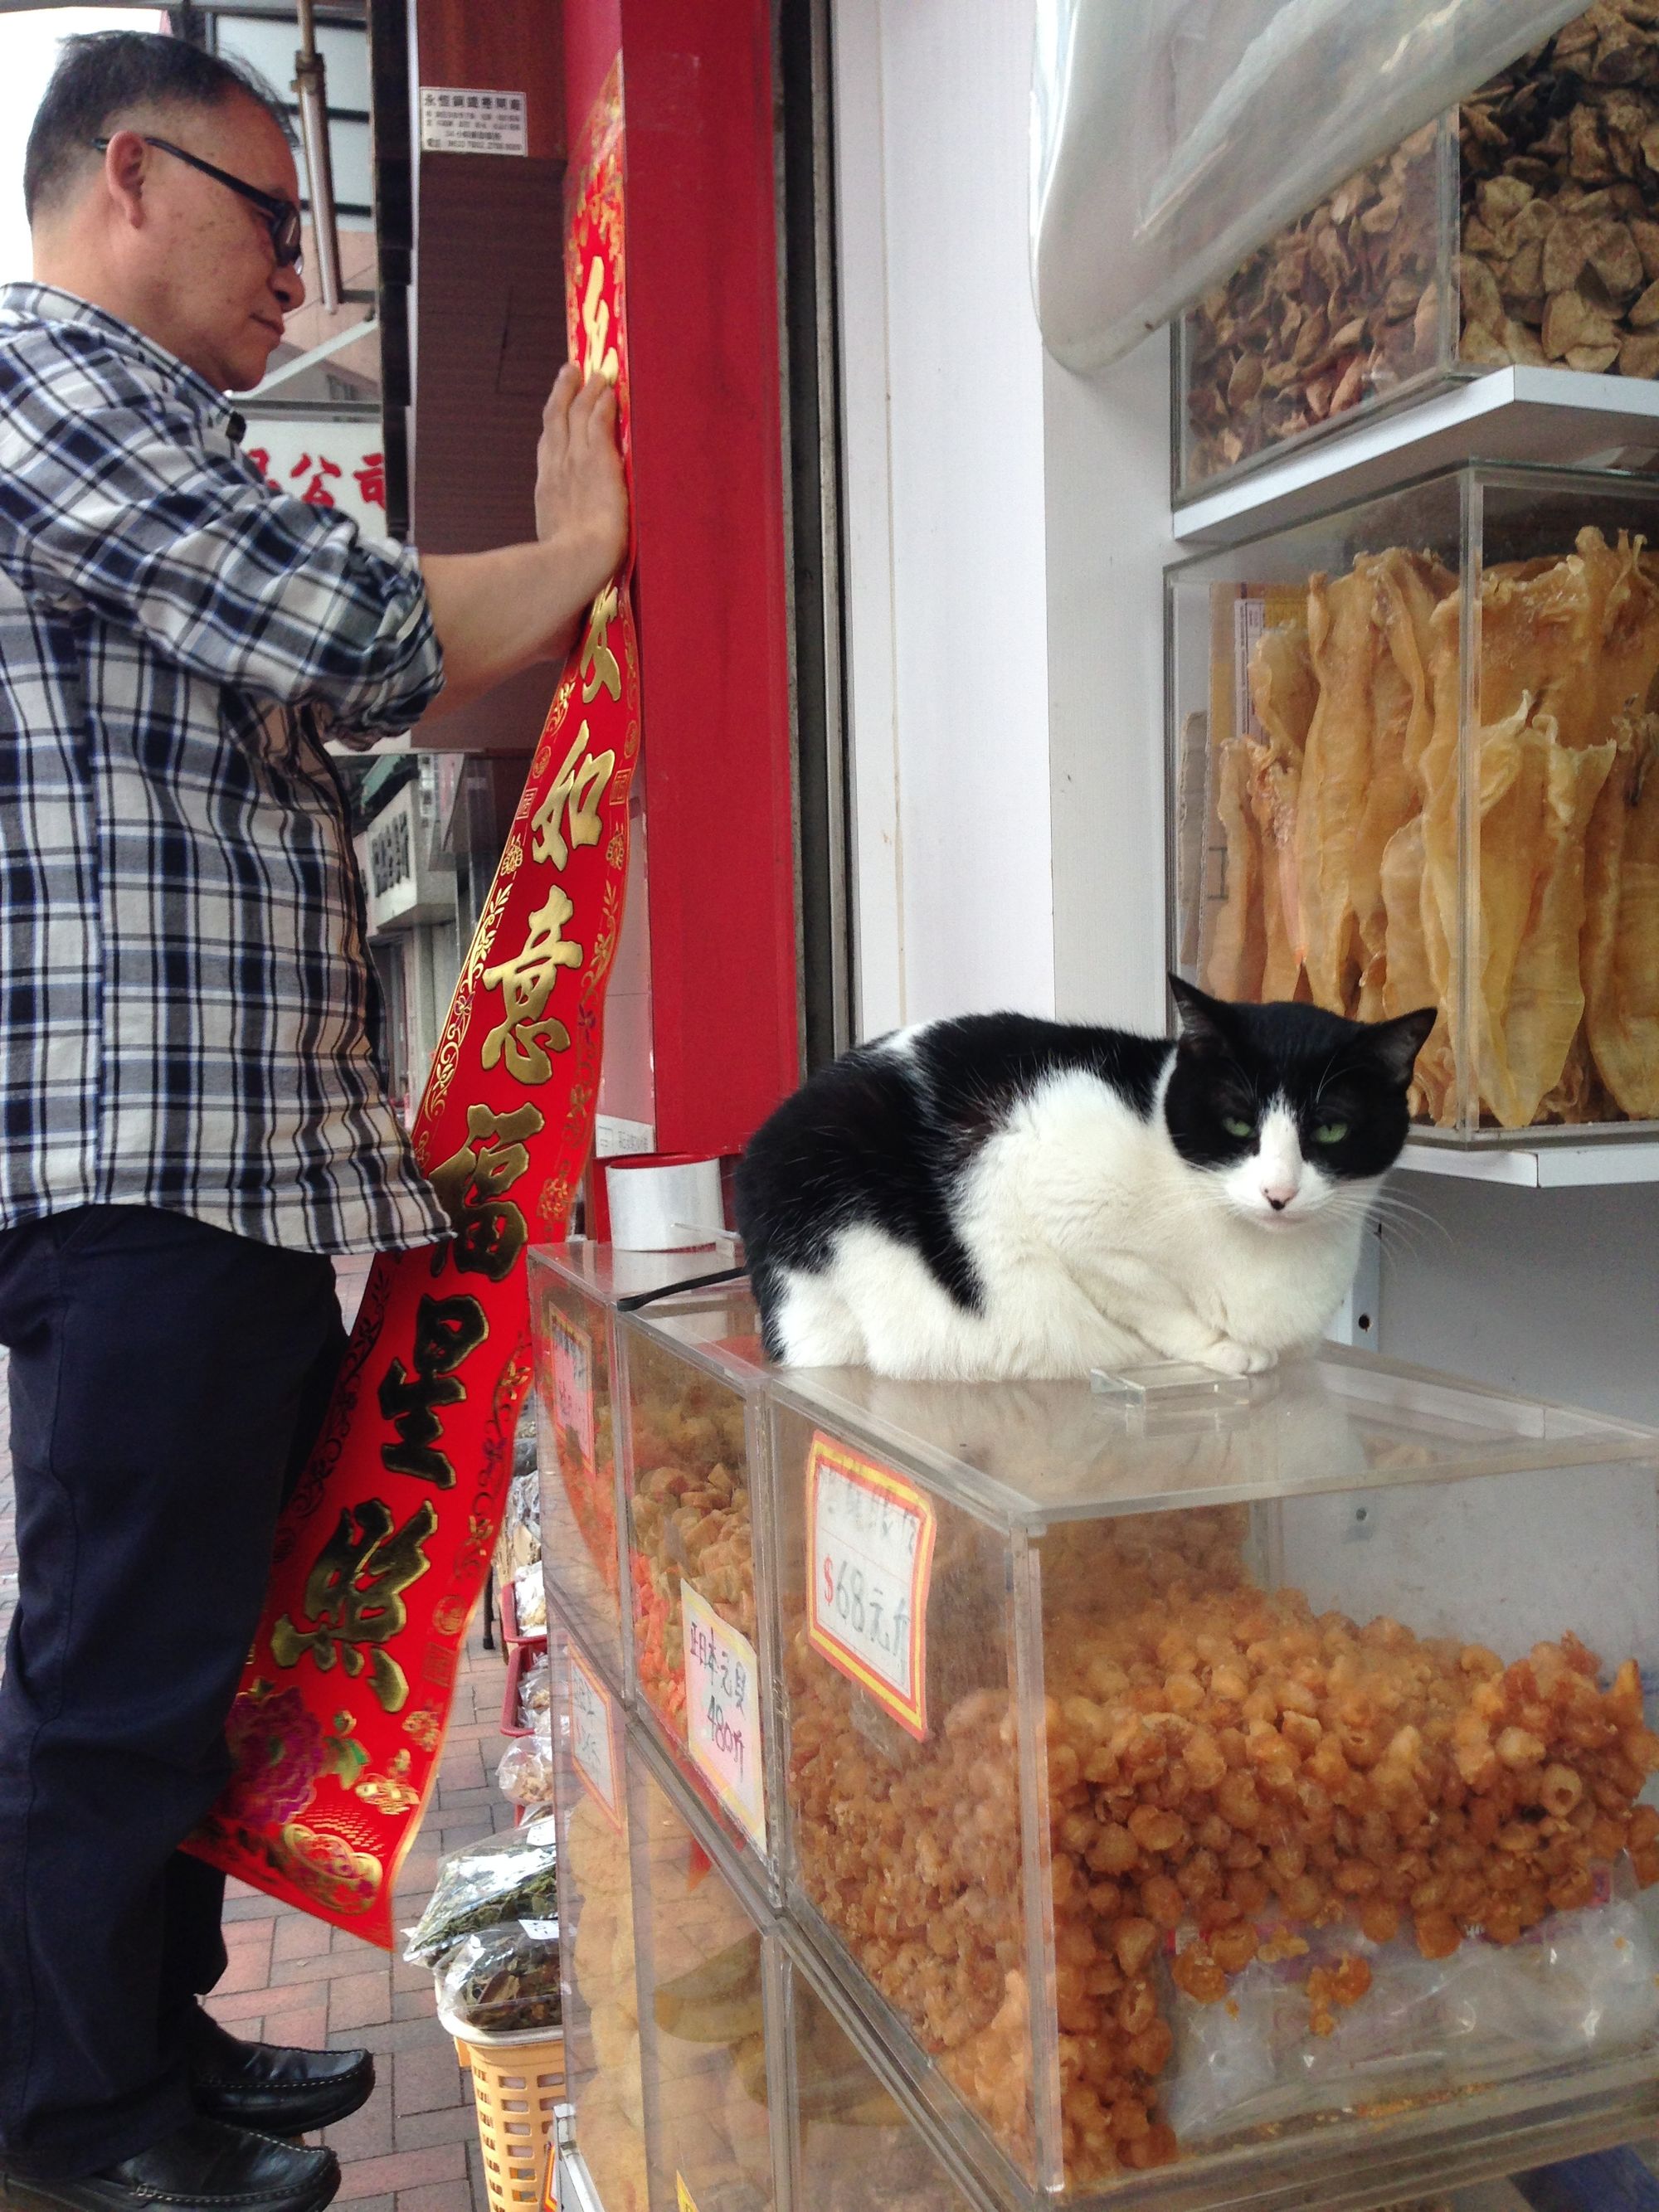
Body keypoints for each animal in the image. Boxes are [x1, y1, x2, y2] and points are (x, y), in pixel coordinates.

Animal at [734, 986, 1433, 1380]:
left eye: (1332, 1129)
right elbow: (1145, 1295)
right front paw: (1225, 1350)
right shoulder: (1055, 1178)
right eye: (1238, 1121)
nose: (1279, 1193)